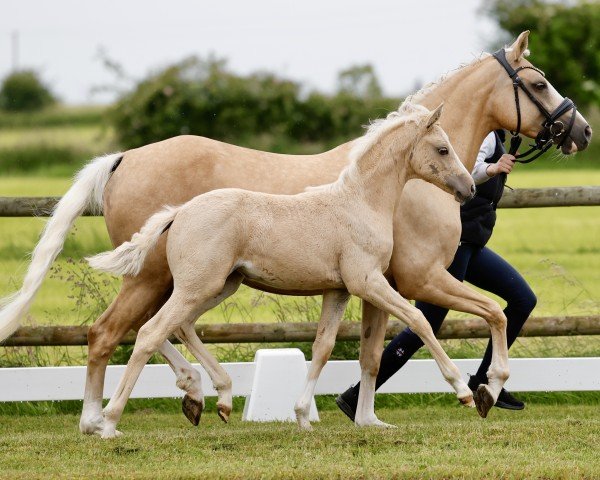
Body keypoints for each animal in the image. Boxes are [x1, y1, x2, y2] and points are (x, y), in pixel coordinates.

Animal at [89, 105, 476, 438]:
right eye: (443, 149)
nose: (469, 187)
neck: (360, 202)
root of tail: (179, 212)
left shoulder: (338, 290)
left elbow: (323, 347)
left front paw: (302, 415)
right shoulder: (366, 282)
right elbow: (419, 320)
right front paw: (463, 391)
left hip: (220, 286)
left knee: (181, 326)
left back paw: (222, 399)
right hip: (195, 287)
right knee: (148, 333)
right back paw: (108, 422)